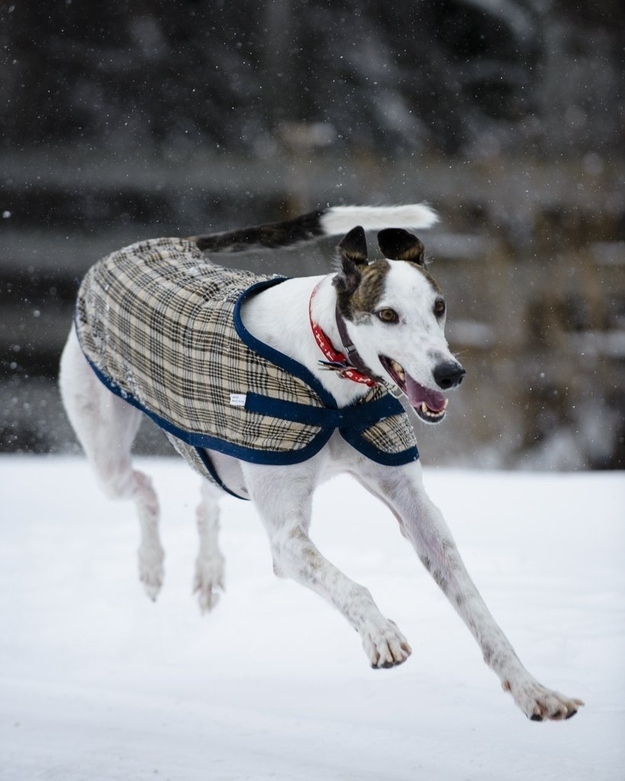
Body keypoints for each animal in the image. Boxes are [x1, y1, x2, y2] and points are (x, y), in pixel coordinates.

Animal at [58, 204, 580, 724]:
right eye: (387, 314)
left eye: (439, 306)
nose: (449, 373)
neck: (332, 375)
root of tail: (158, 244)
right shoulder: (288, 539)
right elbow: (347, 584)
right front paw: (381, 632)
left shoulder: (414, 506)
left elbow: (475, 605)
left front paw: (533, 690)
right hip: (107, 447)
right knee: (143, 485)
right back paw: (152, 565)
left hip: (222, 452)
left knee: (209, 491)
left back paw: (206, 571)